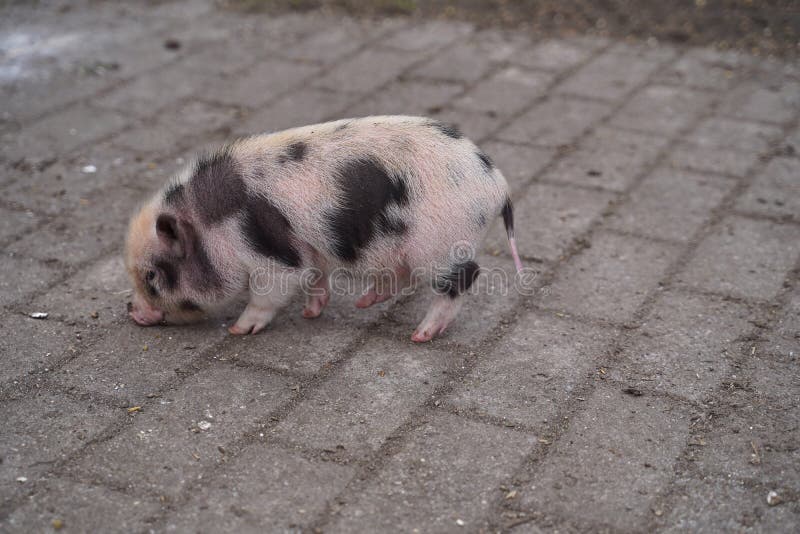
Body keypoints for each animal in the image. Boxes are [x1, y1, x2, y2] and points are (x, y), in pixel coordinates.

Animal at [125, 115, 523, 342]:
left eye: (152, 275)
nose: (131, 310)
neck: (211, 224)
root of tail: (498, 183)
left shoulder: (273, 254)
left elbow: (270, 291)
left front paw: (240, 329)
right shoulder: (310, 246)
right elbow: (317, 275)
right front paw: (310, 313)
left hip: (441, 243)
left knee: (464, 277)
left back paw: (420, 336)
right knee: (401, 276)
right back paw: (365, 302)